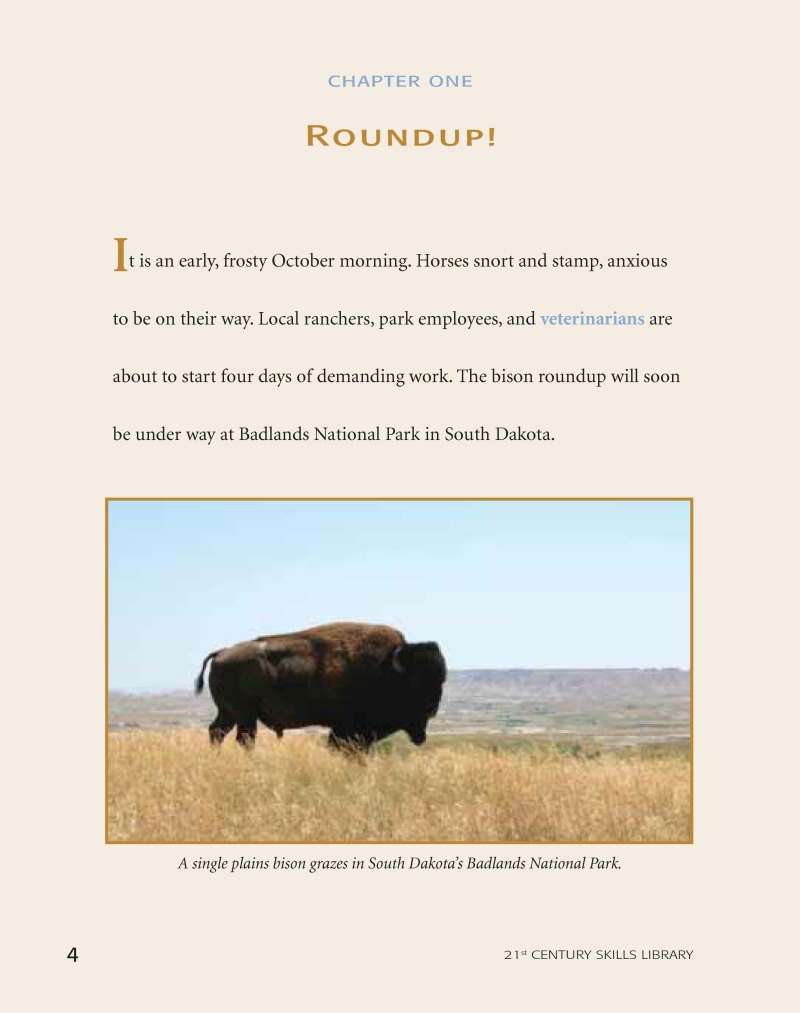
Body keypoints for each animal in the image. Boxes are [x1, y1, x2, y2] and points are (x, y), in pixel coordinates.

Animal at [194, 621, 446, 751]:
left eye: (441, 679)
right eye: (415, 681)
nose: (432, 709)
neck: (386, 667)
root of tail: (222, 652)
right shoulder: (348, 728)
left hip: (229, 713)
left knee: (217, 732)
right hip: (244, 715)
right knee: (243, 739)